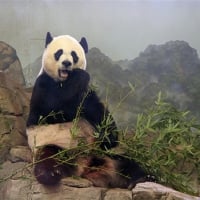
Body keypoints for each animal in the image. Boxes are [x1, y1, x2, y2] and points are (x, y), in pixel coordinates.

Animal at [25, 32, 152, 188]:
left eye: (73, 55)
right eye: (59, 53)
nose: (66, 63)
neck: (64, 81)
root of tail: (83, 167)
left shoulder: (87, 93)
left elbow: (98, 111)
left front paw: (109, 136)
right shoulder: (43, 85)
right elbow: (52, 109)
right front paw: (80, 75)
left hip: (101, 154)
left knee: (126, 164)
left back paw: (144, 177)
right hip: (52, 144)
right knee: (49, 157)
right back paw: (51, 174)